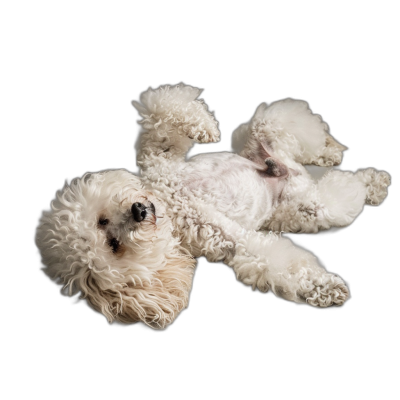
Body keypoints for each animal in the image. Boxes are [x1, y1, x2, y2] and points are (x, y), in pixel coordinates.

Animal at [35, 83, 390, 328]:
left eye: (102, 220)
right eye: (113, 245)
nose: (139, 211)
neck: (169, 206)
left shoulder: (158, 160)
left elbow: (162, 114)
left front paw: (205, 128)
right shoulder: (225, 237)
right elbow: (275, 261)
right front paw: (326, 287)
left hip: (269, 131)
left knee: (300, 136)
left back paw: (330, 153)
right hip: (311, 208)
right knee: (343, 188)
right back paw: (371, 183)